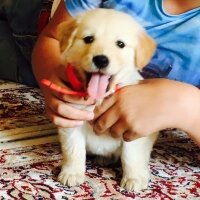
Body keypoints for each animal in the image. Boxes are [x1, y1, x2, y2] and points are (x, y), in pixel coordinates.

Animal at [56, 8, 158, 191]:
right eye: (88, 39)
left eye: (120, 44)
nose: (101, 60)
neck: (100, 99)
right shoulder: (71, 120)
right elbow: (74, 150)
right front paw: (71, 173)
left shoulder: (133, 128)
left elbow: (131, 155)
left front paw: (134, 178)